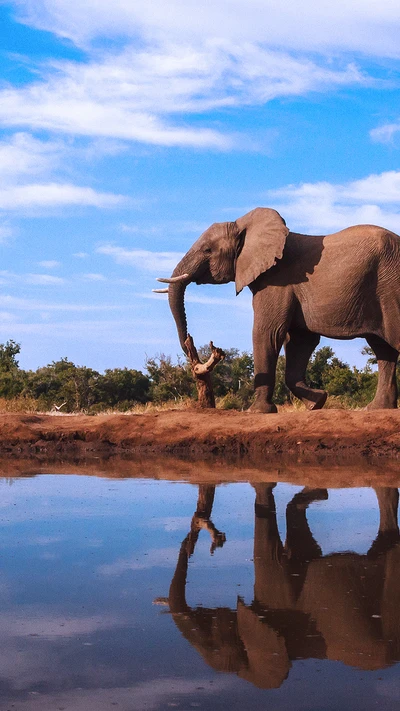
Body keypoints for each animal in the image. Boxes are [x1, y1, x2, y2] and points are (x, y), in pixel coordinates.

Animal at [154, 207, 400, 412]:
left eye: (207, 250)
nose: (196, 359)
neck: (243, 225)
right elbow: (300, 341)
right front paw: (317, 402)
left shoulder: (277, 281)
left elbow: (268, 333)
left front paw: (257, 412)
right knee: (383, 350)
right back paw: (376, 409)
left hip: (390, 287)